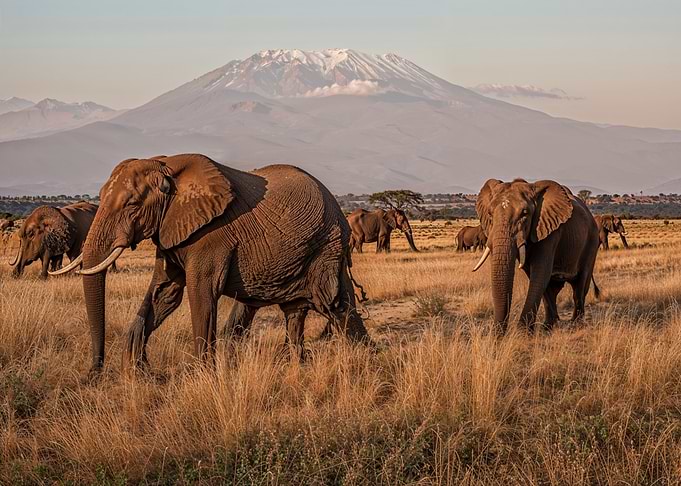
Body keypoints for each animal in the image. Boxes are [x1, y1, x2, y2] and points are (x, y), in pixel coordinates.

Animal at [56, 154, 370, 375]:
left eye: (132, 204)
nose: (94, 373)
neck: (166, 165)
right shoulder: (170, 233)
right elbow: (164, 294)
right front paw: (136, 372)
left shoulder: (212, 237)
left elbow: (202, 294)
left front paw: (204, 376)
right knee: (294, 311)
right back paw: (297, 364)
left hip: (326, 245)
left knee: (334, 303)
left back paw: (364, 360)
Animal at [473, 178, 600, 333]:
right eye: (490, 214)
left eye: (524, 213)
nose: (497, 335)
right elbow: (536, 276)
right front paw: (538, 329)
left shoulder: (549, 231)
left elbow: (540, 273)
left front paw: (522, 332)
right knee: (553, 288)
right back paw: (549, 325)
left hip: (591, 242)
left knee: (580, 285)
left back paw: (576, 324)